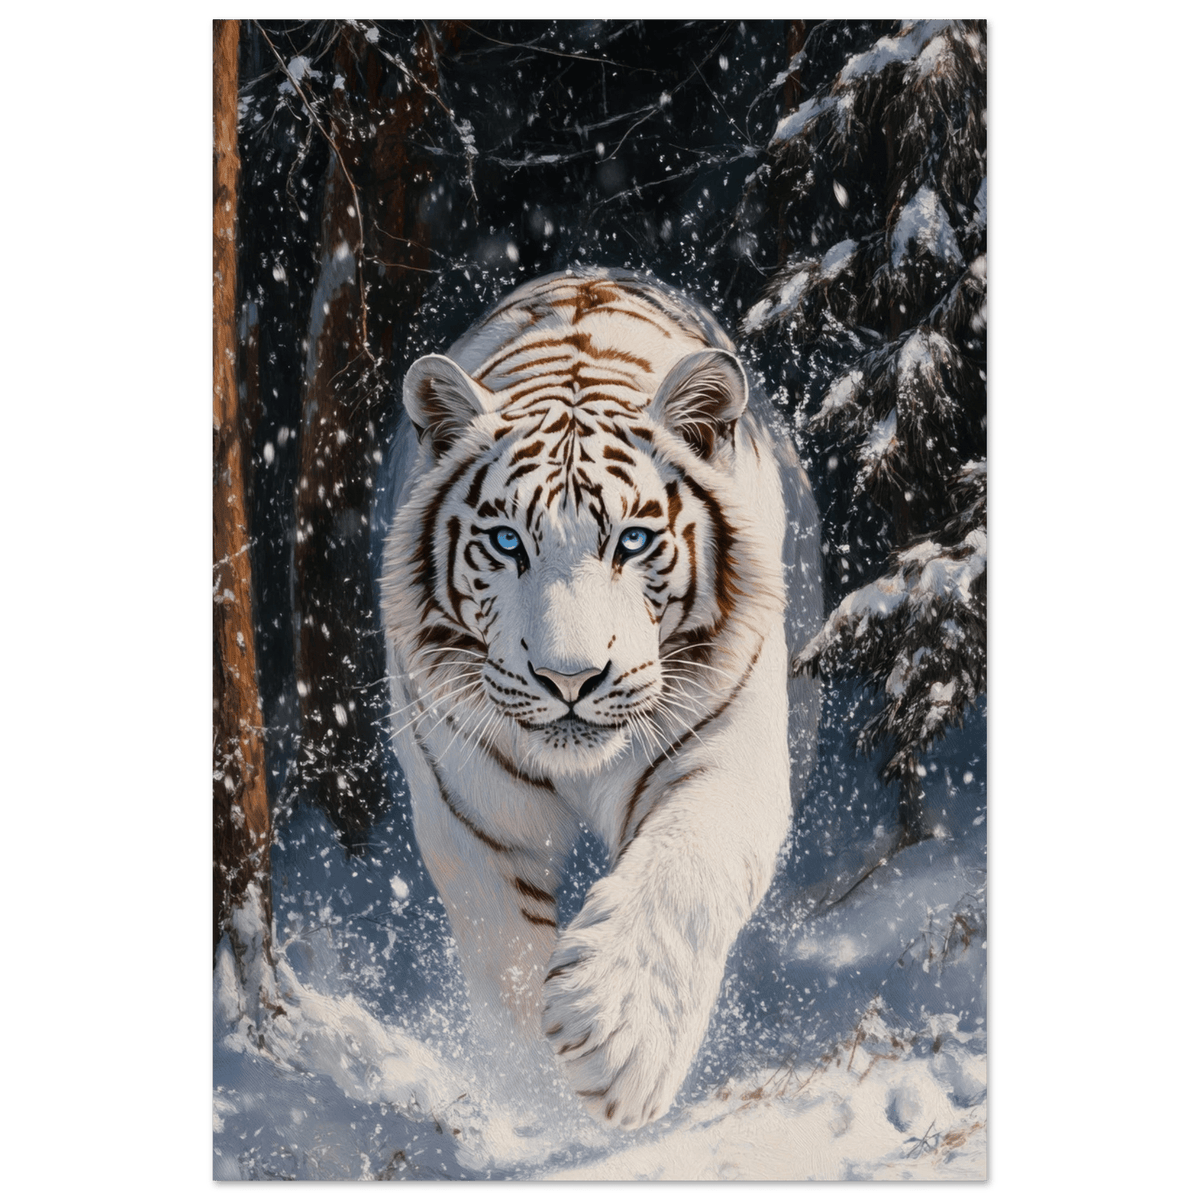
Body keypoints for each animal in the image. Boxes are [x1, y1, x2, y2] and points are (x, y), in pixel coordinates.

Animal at [377, 268, 821, 1130]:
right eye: (507, 543)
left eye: (634, 541)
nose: (570, 679)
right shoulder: (468, 808)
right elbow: (503, 955)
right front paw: (539, 1097)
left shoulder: (728, 755)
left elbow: (685, 875)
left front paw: (617, 1040)